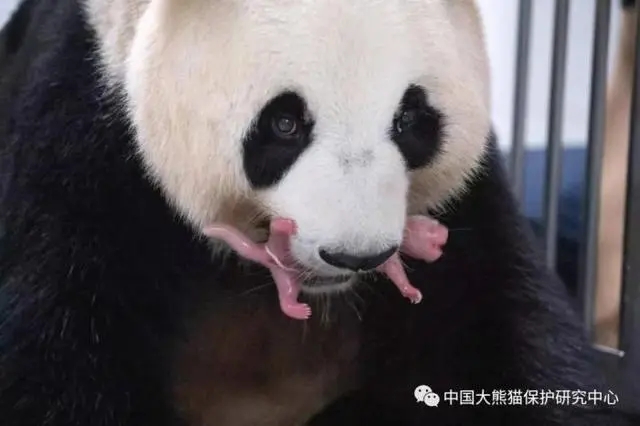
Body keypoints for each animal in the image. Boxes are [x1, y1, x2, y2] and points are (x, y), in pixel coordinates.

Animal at [0, 0, 636, 425]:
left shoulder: (466, 214)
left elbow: (510, 332)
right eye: (285, 123)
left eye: (410, 120)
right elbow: (54, 356)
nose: (357, 255)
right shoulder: (80, 146)